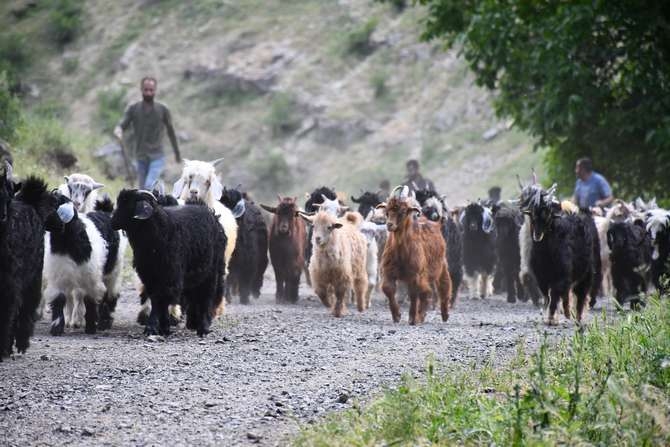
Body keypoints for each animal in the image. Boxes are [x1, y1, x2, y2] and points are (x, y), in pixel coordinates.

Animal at [0, 166, 57, 358]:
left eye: (8, 196)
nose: (2, 216)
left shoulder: (9, 284)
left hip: (33, 277)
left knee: (25, 307)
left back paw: (19, 344)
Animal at [46, 194, 128, 334]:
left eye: (53, 204)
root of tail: (105, 211)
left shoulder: (91, 279)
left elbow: (90, 301)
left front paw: (91, 327)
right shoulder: (59, 276)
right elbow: (59, 299)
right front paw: (57, 328)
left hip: (113, 271)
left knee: (110, 294)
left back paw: (104, 322)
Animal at [110, 188, 226, 336]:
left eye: (127, 203)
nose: (112, 222)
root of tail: (210, 212)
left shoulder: (169, 275)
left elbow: (161, 298)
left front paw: (152, 327)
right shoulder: (150, 275)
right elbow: (157, 299)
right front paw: (163, 327)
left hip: (212, 271)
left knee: (206, 296)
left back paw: (203, 327)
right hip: (194, 274)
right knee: (194, 295)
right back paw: (193, 323)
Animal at [380, 194, 454, 324]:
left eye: (403, 212)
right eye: (387, 212)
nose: (389, 225)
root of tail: (436, 224)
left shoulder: (415, 274)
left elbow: (414, 293)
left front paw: (412, 318)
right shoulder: (388, 271)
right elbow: (388, 289)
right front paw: (396, 316)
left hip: (441, 265)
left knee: (444, 286)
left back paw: (444, 314)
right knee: (426, 292)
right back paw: (422, 316)